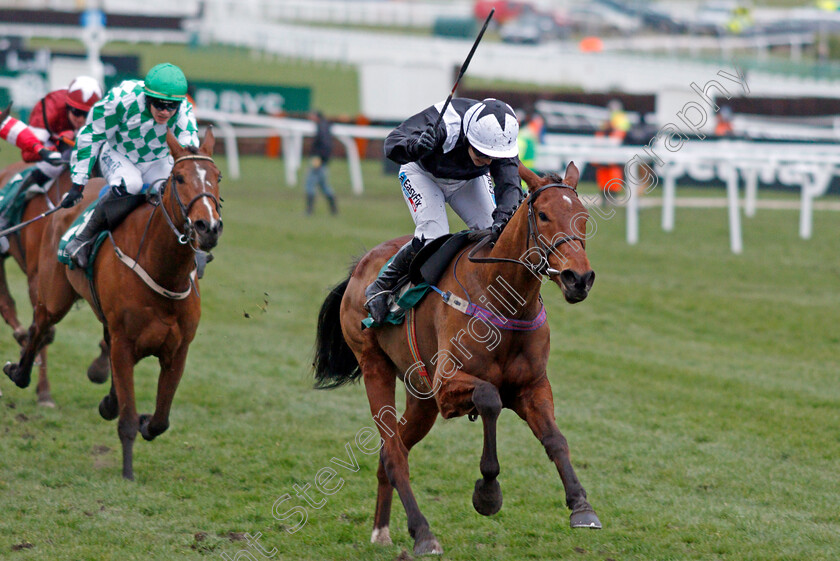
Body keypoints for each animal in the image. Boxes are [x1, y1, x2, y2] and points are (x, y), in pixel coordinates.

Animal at [314, 161, 596, 552]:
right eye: (543, 215)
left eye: (583, 217)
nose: (579, 278)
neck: (502, 296)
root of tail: (361, 268)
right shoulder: (448, 387)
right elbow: (490, 399)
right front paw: (488, 494)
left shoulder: (532, 386)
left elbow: (556, 439)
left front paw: (581, 506)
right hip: (376, 368)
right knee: (394, 454)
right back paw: (422, 533)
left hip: (421, 399)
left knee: (392, 452)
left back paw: (381, 530)